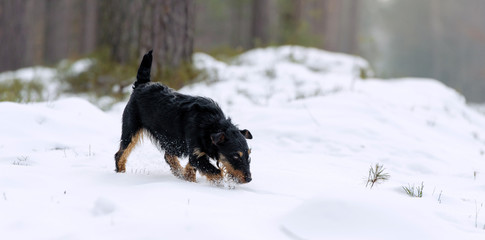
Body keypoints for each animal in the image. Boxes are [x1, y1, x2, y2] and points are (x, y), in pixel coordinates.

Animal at [114, 49, 253, 183]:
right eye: (235, 155)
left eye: (249, 154)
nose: (249, 179)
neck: (211, 123)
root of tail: (142, 84)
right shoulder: (196, 155)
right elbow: (216, 173)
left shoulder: (196, 153)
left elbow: (191, 168)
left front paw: (188, 178)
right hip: (131, 132)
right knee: (120, 154)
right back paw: (121, 175)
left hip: (171, 142)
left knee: (168, 156)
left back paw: (178, 172)